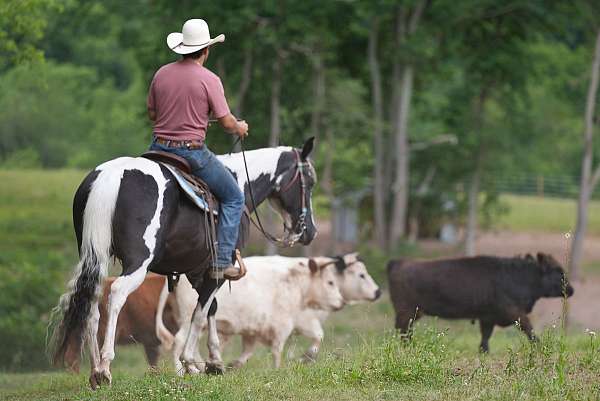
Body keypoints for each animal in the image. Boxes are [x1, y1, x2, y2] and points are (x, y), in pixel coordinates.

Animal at [50, 138, 318, 388]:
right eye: (310, 181)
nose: (310, 231)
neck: (239, 182)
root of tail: (110, 177)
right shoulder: (217, 270)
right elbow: (200, 313)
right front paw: (193, 362)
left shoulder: (196, 272)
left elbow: (210, 308)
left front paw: (214, 361)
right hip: (138, 262)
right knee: (116, 293)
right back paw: (105, 367)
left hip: (95, 258)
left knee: (92, 303)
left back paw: (95, 370)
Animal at [156, 253, 380, 368]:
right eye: (361, 275)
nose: (378, 292)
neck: (299, 283)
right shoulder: (290, 323)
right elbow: (284, 348)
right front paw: (288, 365)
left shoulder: (254, 330)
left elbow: (249, 351)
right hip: (190, 318)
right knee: (179, 342)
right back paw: (183, 371)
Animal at [386, 253, 576, 350]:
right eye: (558, 271)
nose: (571, 290)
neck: (518, 277)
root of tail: (398, 262)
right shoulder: (513, 312)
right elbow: (528, 328)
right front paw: (539, 346)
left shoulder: (488, 318)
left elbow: (485, 338)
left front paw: (483, 351)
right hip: (407, 312)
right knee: (403, 331)